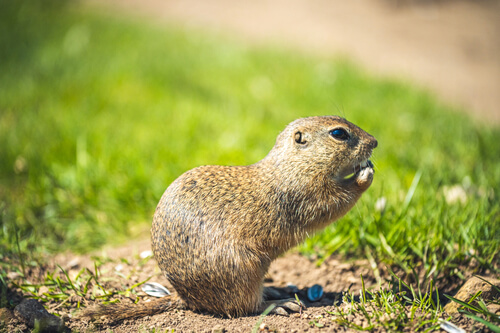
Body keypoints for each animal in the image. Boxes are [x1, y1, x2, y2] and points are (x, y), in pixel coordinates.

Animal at [84, 115, 376, 320]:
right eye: (339, 133)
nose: (374, 142)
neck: (292, 165)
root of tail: (188, 300)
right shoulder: (305, 194)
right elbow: (332, 204)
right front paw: (364, 175)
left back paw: (273, 290)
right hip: (244, 269)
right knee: (245, 307)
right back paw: (280, 303)